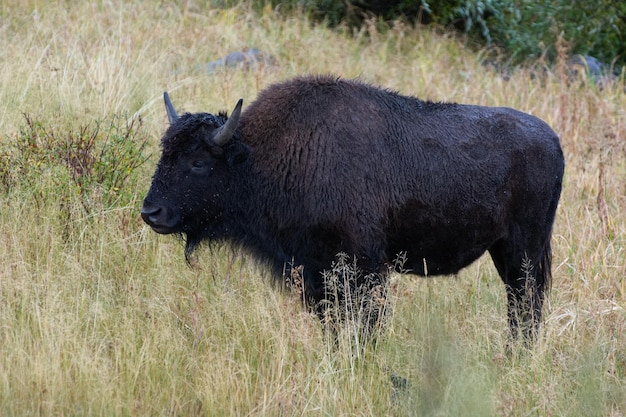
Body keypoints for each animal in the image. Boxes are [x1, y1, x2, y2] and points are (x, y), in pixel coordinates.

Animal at [143, 75, 564, 342]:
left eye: (198, 162)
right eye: (165, 153)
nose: (151, 213)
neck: (263, 156)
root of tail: (552, 140)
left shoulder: (364, 268)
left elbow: (367, 324)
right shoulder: (315, 273)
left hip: (523, 252)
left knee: (525, 306)